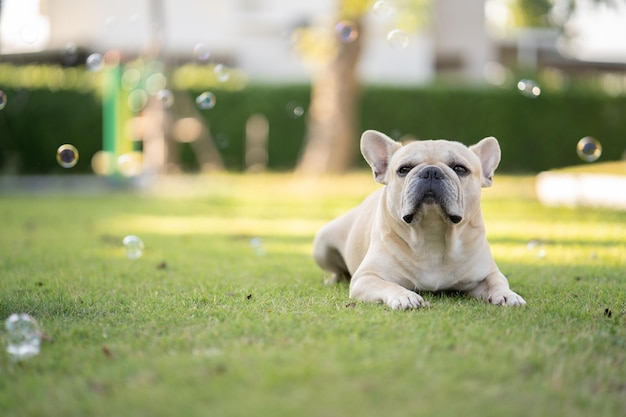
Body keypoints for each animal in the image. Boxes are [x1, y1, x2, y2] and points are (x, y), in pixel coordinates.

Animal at [310, 130, 520, 308]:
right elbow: (388, 285)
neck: (432, 233)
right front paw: (405, 296)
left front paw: (508, 294)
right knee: (337, 271)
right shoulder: (366, 277)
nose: (431, 171)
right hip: (321, 245)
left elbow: (498, 280)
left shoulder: (487, 273)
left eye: (460, 168)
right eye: (404, 169)